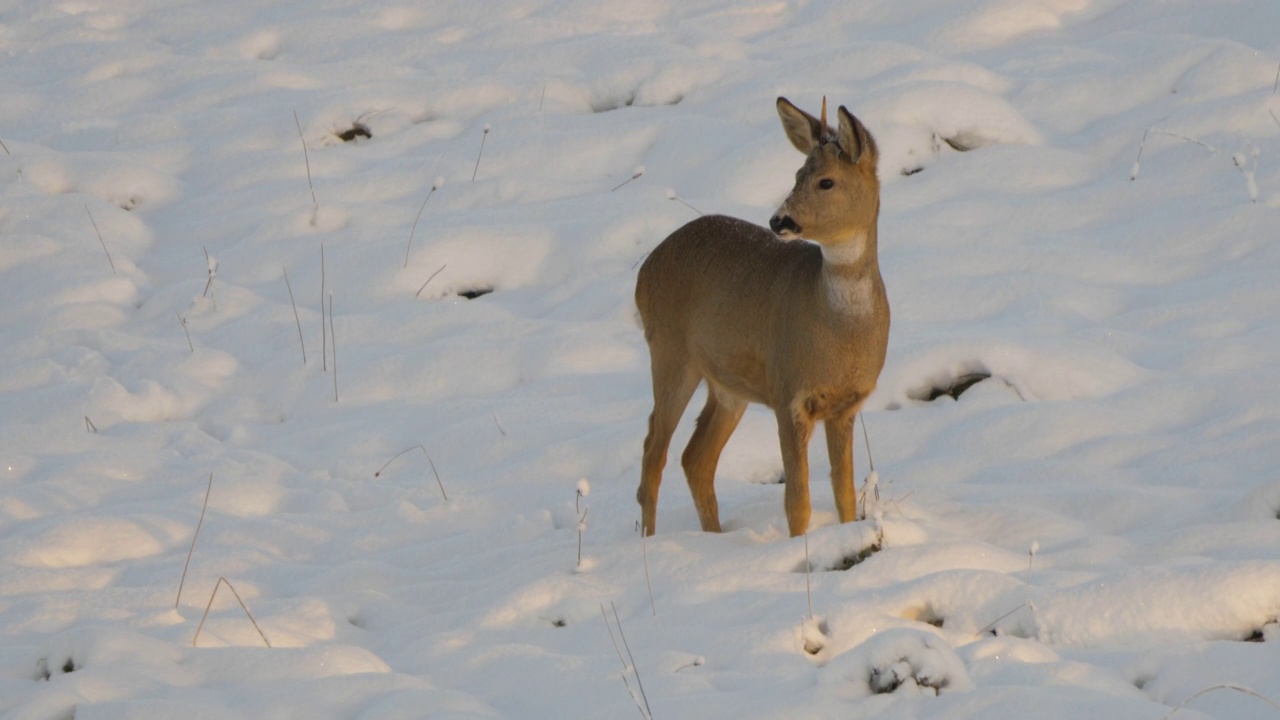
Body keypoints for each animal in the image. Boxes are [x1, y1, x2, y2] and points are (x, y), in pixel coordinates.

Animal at [632, 94, 890, 532]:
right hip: (669, 351)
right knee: (654, 450)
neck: (841, 332)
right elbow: (798, 501)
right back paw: (649, 539)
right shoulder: (788, 393)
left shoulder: (846, 405)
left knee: (695, 458)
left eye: (826, 181)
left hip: (728, 384)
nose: (779, 220)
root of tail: (643, 271)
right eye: (797, 173)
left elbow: (843, 494)